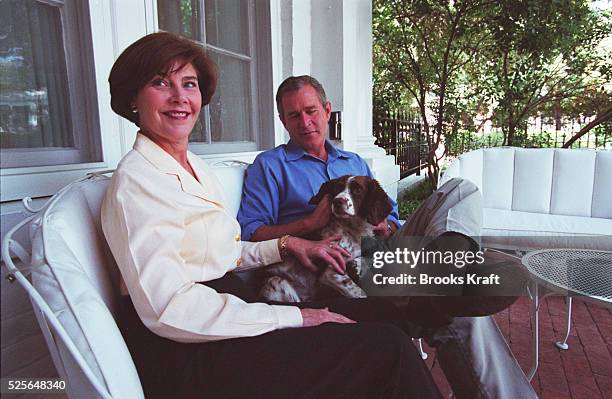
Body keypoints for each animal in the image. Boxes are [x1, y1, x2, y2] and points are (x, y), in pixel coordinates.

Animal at [256, 176, 392, 304]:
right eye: (337, 188)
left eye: (358, 190)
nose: (337, 202)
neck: (353, 230)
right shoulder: (332, 272)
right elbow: (360, 293)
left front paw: (358, 263)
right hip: (278, 282)